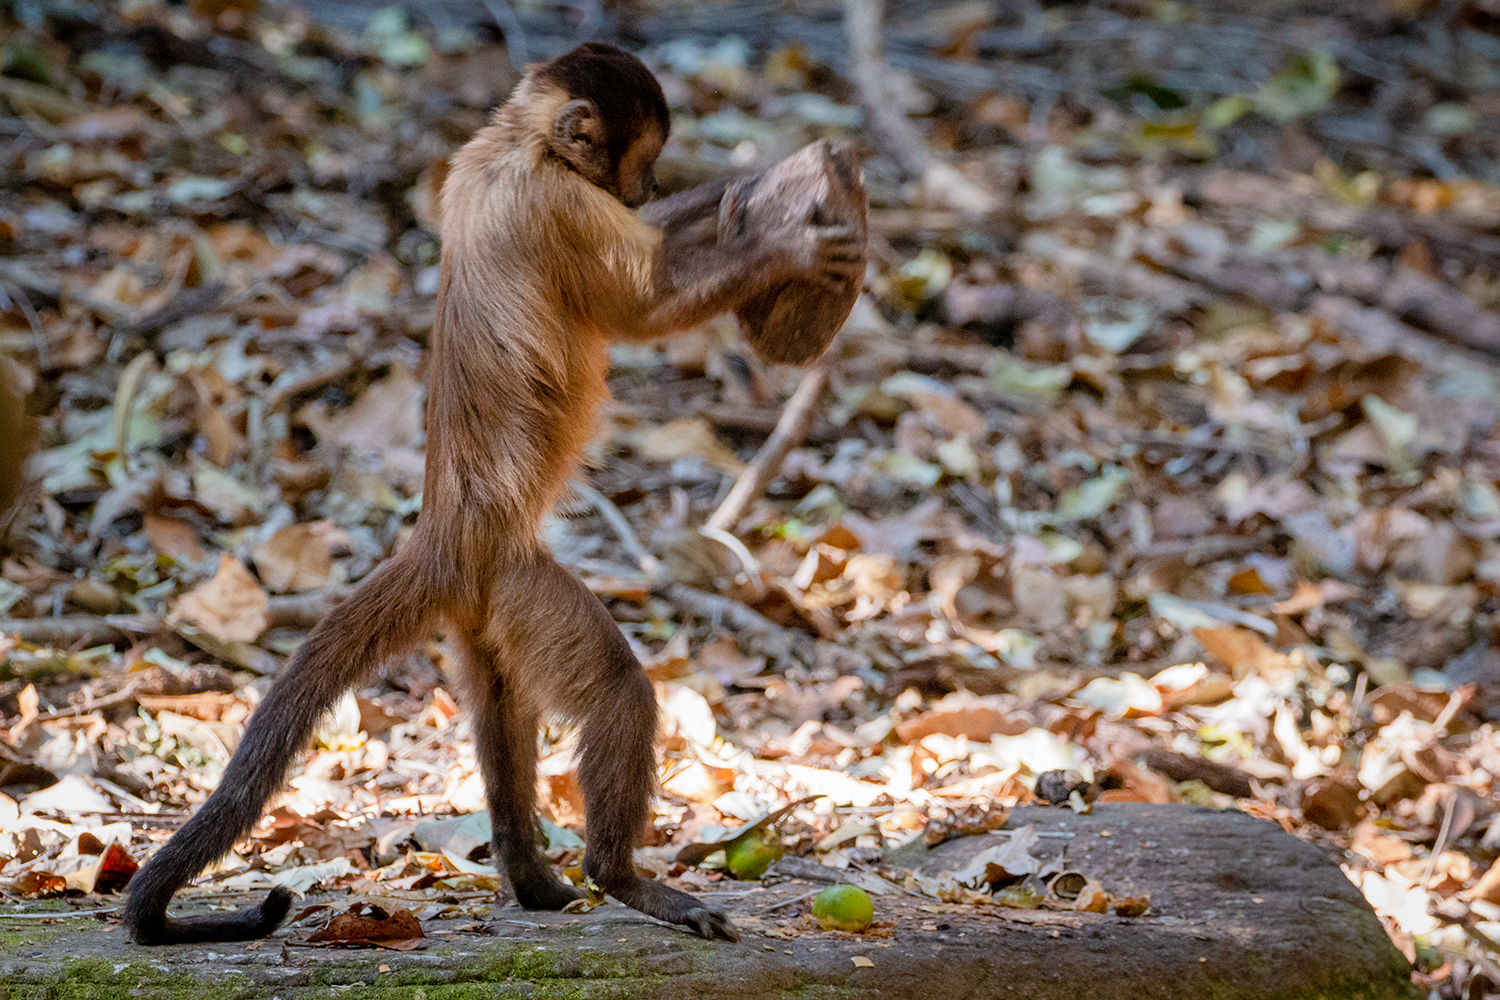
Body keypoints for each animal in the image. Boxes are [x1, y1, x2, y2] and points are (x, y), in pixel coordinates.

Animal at [126, 41, 870, 947]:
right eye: (645, 157)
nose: (653, 183)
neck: (519, 144)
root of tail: (442, 533)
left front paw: (735, 191)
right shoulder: (558, 204)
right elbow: (646, 308)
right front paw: (786, 252)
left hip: (482, 615)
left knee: (504, 707)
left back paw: (533, 878)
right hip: (516, 581)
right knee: (617, 691)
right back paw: (620, 877)